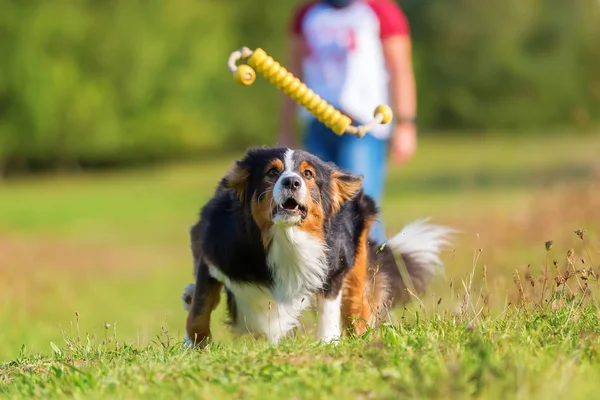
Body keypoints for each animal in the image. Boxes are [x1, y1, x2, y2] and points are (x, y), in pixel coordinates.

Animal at [183, 148, 454, 346]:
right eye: (272, 172)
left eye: (308, 174)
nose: (292, 182)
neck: (286, 238)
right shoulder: (214, 253)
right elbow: (199, 310)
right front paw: (194, 346)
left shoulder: (332, 268)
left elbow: (328, 310)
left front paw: (328, 344)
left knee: (357, 302)